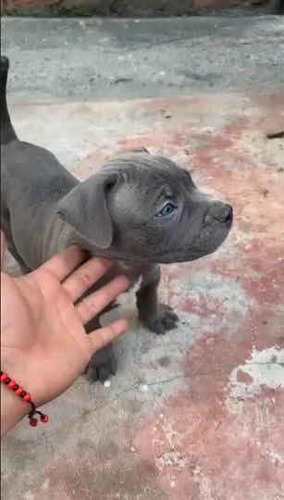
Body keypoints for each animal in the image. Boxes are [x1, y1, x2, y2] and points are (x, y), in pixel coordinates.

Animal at [0, 55, 233, 382]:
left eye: (191, 182)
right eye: (167, 209)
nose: (227, 212)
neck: (127, 262)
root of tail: (10, 144)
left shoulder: (151, 272)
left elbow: (147, 296)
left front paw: (155, 317)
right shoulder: (80, 304)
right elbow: (92, 331)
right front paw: (99, 361)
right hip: (7, 223)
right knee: (15, 247)